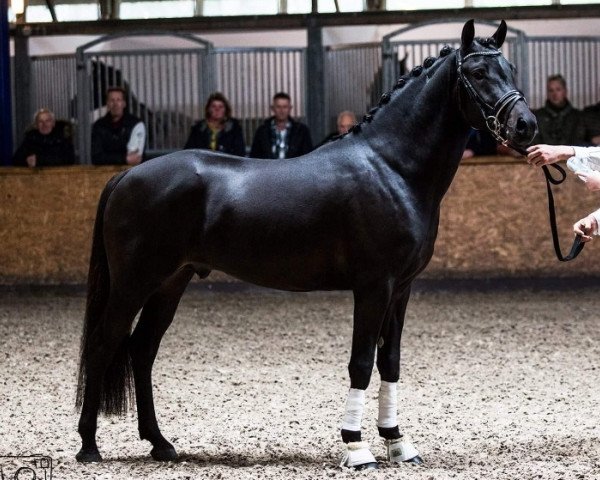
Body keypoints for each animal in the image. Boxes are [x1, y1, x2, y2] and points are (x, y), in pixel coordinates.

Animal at [75, 19, 540, 468]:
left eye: (510, 69)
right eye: (477, 73)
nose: (526, 125)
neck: (391, 167)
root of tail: (126, 176)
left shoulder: (401, 289)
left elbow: (390, 362)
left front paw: (397, 442)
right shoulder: (374, 287)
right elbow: (361, 363)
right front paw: (356, 448)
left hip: (170, 283)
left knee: (142, 350)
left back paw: (160, 443)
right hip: (133, 284)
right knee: (103, 345)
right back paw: (89, 447)